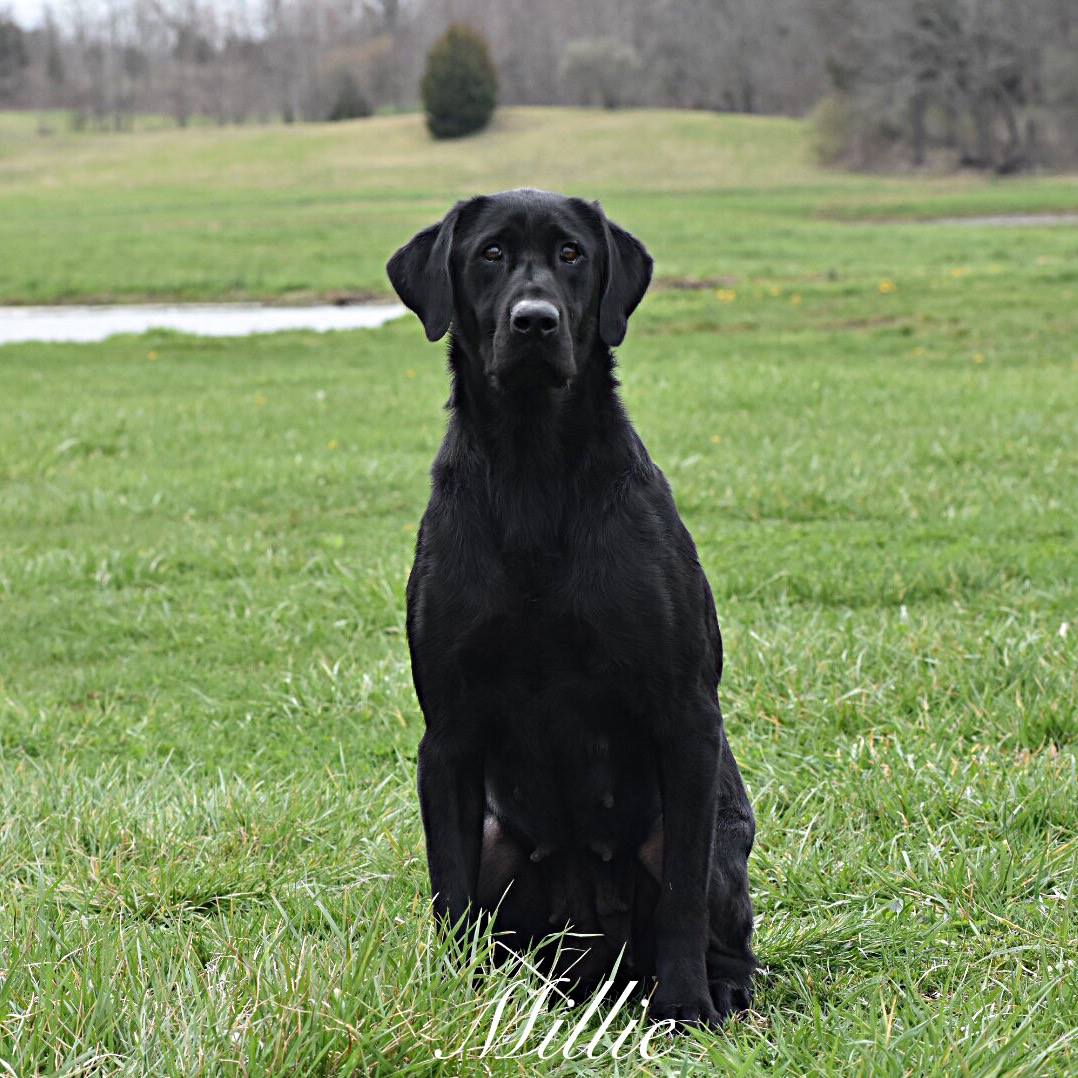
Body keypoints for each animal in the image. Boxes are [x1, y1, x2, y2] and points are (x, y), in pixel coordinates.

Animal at [390, 189, 758, 1021]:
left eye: (571, 254)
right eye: (490, 253)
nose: (535, 321)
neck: (533, 469)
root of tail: (596, 964)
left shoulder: (687, 717)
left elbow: (683, 892)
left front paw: (684, 1008)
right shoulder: (448, 734)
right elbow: (449, 889)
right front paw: (457, 1001)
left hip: (721, 836)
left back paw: (720, 988)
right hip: (502, 842)